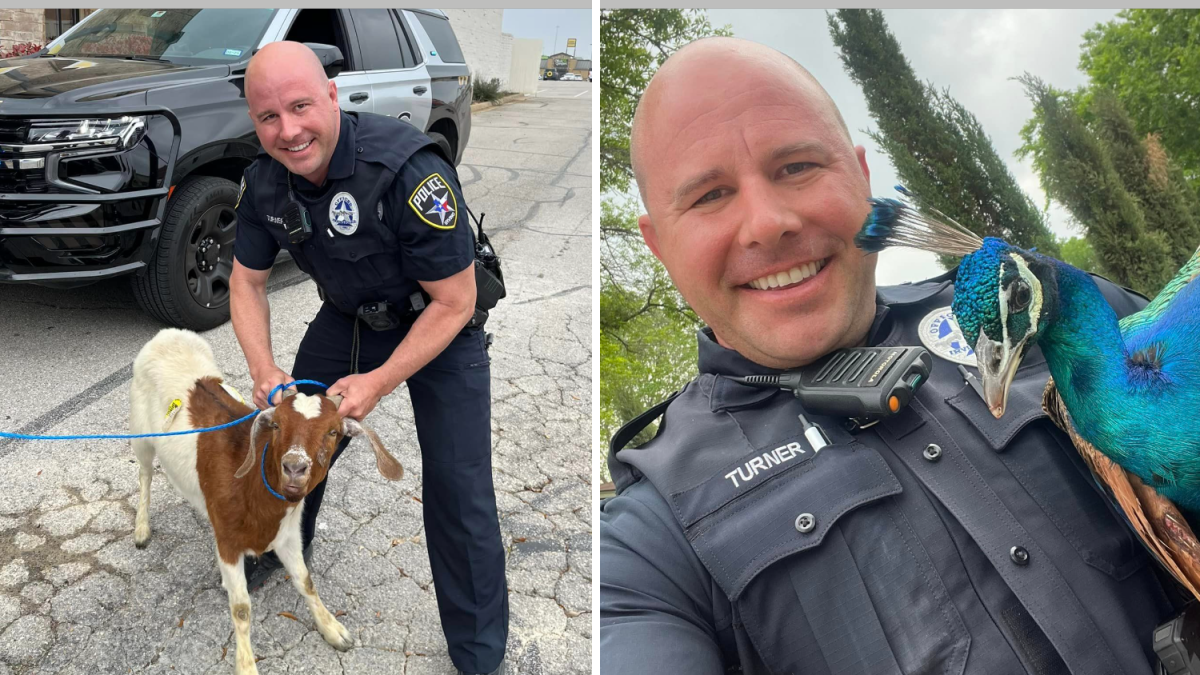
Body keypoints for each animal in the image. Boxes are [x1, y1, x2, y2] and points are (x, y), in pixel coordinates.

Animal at [129, 324, 405, 667]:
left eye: (332, 432)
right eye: (276, 425)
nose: (295, 467)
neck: (254, 492)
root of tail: (168, 333)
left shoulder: (287, 535)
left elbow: (305, 581)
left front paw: (333, 629)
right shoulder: (228, 543)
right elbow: (241, 609)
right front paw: (246, 665)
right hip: (141, 435)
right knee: (144, 474)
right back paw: (142, 528)